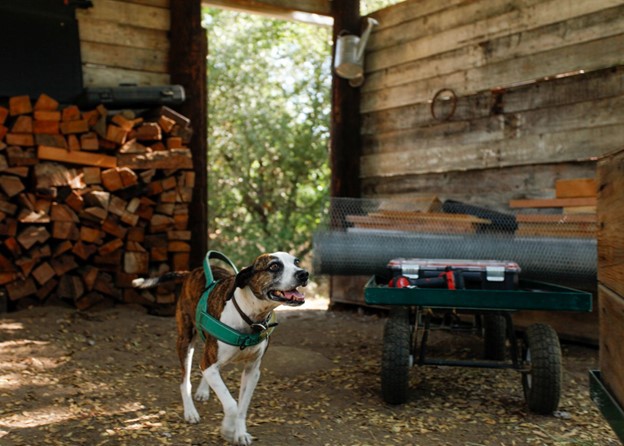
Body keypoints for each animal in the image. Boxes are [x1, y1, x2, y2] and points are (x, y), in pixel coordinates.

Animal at [133, 253, 308, 444]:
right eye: (274, 266)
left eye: (296, 262)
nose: (304, 273)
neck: (249, 317)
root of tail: (191, 272)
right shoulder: (211, 365)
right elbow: (231, 404)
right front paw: (228, 430)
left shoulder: (252, 371)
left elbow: (242, 407)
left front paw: (240, 433)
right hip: (185, 341)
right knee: (185, 381)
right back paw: (190, 411)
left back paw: (203, 390)